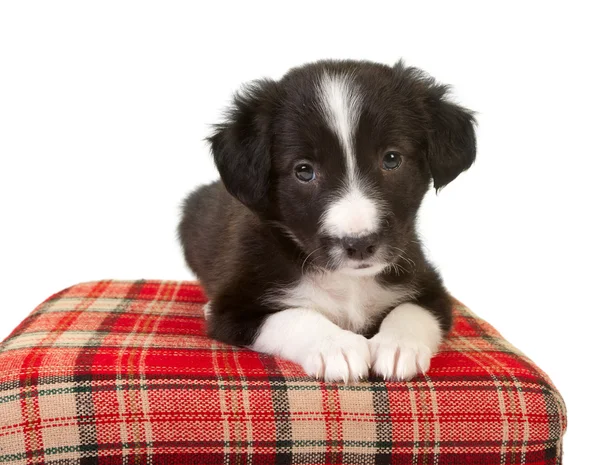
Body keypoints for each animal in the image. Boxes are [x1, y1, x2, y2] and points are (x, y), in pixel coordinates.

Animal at [176, 59, 476, 380]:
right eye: (304, 171)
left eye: (392, 159)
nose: (360, 245)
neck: (348, 281)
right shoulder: (235, 310)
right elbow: (295, 316)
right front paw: (337, 347)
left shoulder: (430, 287)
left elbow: (411, 311)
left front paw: (397, 346)